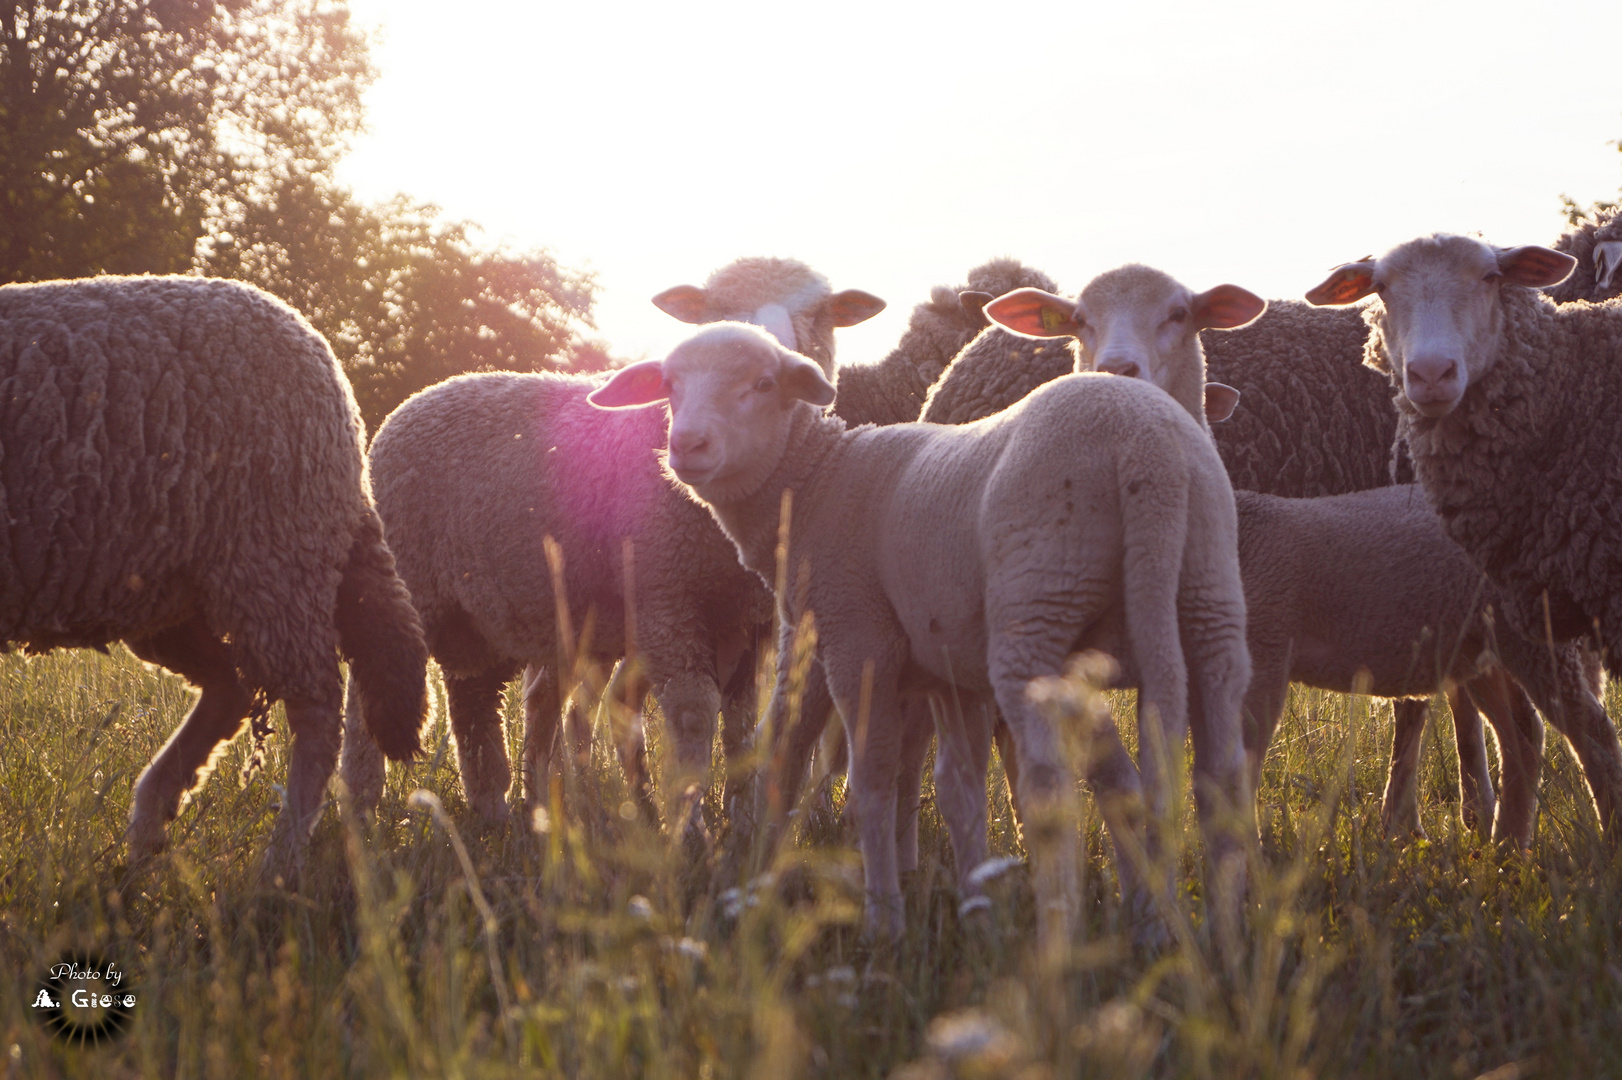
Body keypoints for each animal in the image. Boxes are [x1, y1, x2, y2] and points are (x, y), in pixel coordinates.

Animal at [0, 274, 431, 882]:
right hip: (172, 591)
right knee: (233, 687)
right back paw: (151, 826)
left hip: (270, 559)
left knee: (316, 708)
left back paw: (279, 861)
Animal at [334, 254, 882, 830]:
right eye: (714, 310)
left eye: (821, 316)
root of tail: (426, 394)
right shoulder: (665, 597)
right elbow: (693, 713)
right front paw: (689, 828)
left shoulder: (750, 620)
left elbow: (739, 723)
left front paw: (740, 817)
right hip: (409, 576)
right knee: (370, 698)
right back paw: (363, 805)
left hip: (484, 615)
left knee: (476, 701)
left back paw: (495, 811)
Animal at [590, 319, 1245, 940]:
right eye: (669, 385)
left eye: (764, 384)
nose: (687, 444)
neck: (816, 481)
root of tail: (1147, 452)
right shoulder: (950, 675)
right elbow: (960, 790)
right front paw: (977, 908)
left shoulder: (859, 642)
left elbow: (873, 778)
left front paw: (885, 919)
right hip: (1207, 594)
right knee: (1215, 776)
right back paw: (1212, 931)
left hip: (1038, 611)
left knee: (1053, 788)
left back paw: (1060, 939)